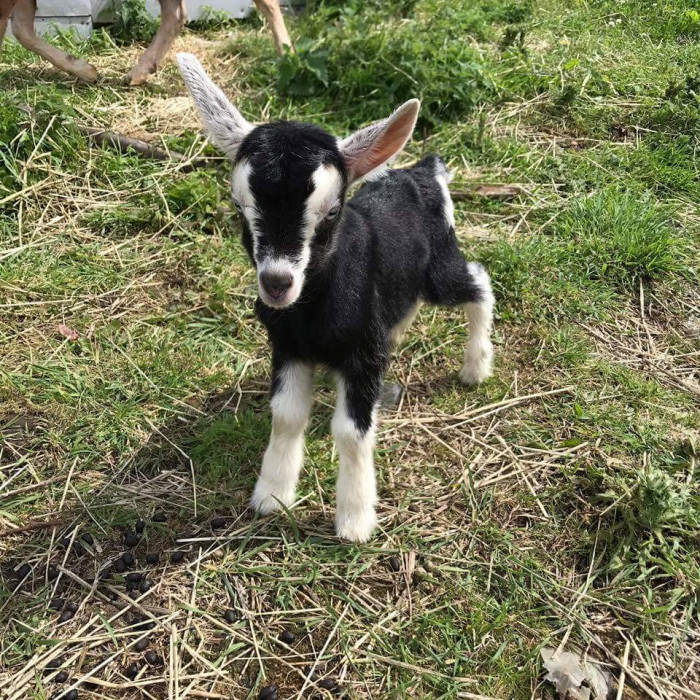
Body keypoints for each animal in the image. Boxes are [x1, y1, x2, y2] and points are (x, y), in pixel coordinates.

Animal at [180, 56, 498, 548]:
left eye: (331, 213)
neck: (311, 315)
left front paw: (354, 520)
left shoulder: (363, 352)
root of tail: (423, 171)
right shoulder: (286, 346)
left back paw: (476, 367)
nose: (276, 283)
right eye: (239, 207)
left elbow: (350, 432)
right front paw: (272, 496)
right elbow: (287, 416)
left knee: (479, 282)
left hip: (440, 269)